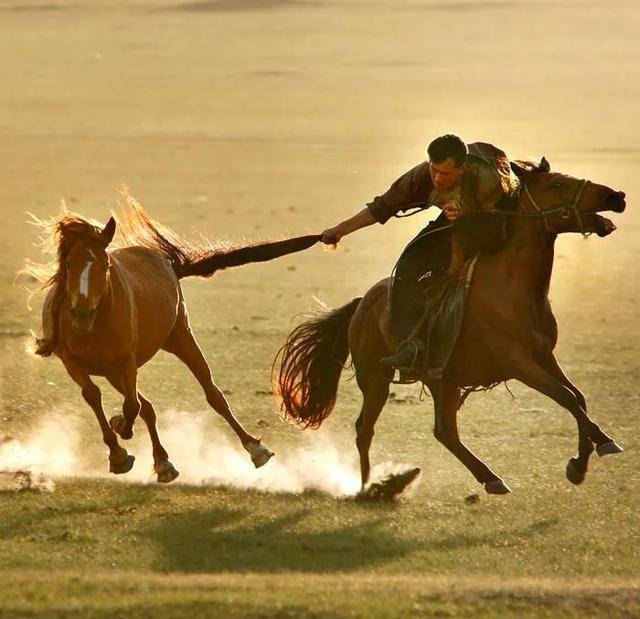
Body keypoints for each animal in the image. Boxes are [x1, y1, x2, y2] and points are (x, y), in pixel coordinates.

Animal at [30, 197, 320, 484]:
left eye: (105, 265)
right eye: (68, 264)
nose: (81, 313)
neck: (92, 328)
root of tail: (166, 263)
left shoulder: (126, 359)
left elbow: (132, 405)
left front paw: (121, 431)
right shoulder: (73, 362)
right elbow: (94, 395)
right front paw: (118, 454)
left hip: (180, 338)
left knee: (211, 395)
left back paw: (253, 449)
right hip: (115, 370)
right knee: (146, 407)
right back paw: (162, 461)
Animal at [276, 159, 624, 494]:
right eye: (557, 184)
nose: (615, 197)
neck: (513, 286)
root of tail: (362, 304)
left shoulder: (544, 356)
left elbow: (577, 397)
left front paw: (587, 456)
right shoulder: (519, 363)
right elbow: (566, 397)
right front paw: (595, 452)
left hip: (441, 379)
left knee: (444, 432)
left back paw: (488, 479)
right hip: (376, 378)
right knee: (366, 429)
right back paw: (368, 486)